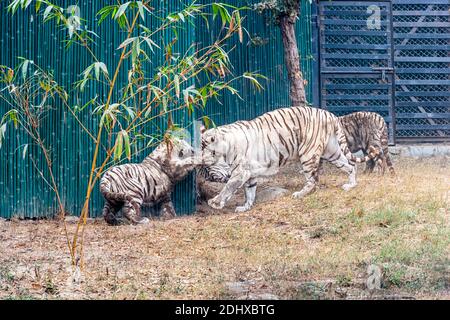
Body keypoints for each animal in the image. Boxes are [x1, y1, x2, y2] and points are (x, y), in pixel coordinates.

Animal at [200, 105, 376, 212]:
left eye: (206, 166)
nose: (207, 177)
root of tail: (329, 114)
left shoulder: (240, 172)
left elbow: (228, 187)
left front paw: (215, 202)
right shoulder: (250, 173)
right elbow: (249, 191)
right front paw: (245, 207)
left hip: (308, 153)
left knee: (313, 180)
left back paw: (299, 194)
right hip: (332, 152)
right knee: (351, 165)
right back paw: (350, 185)